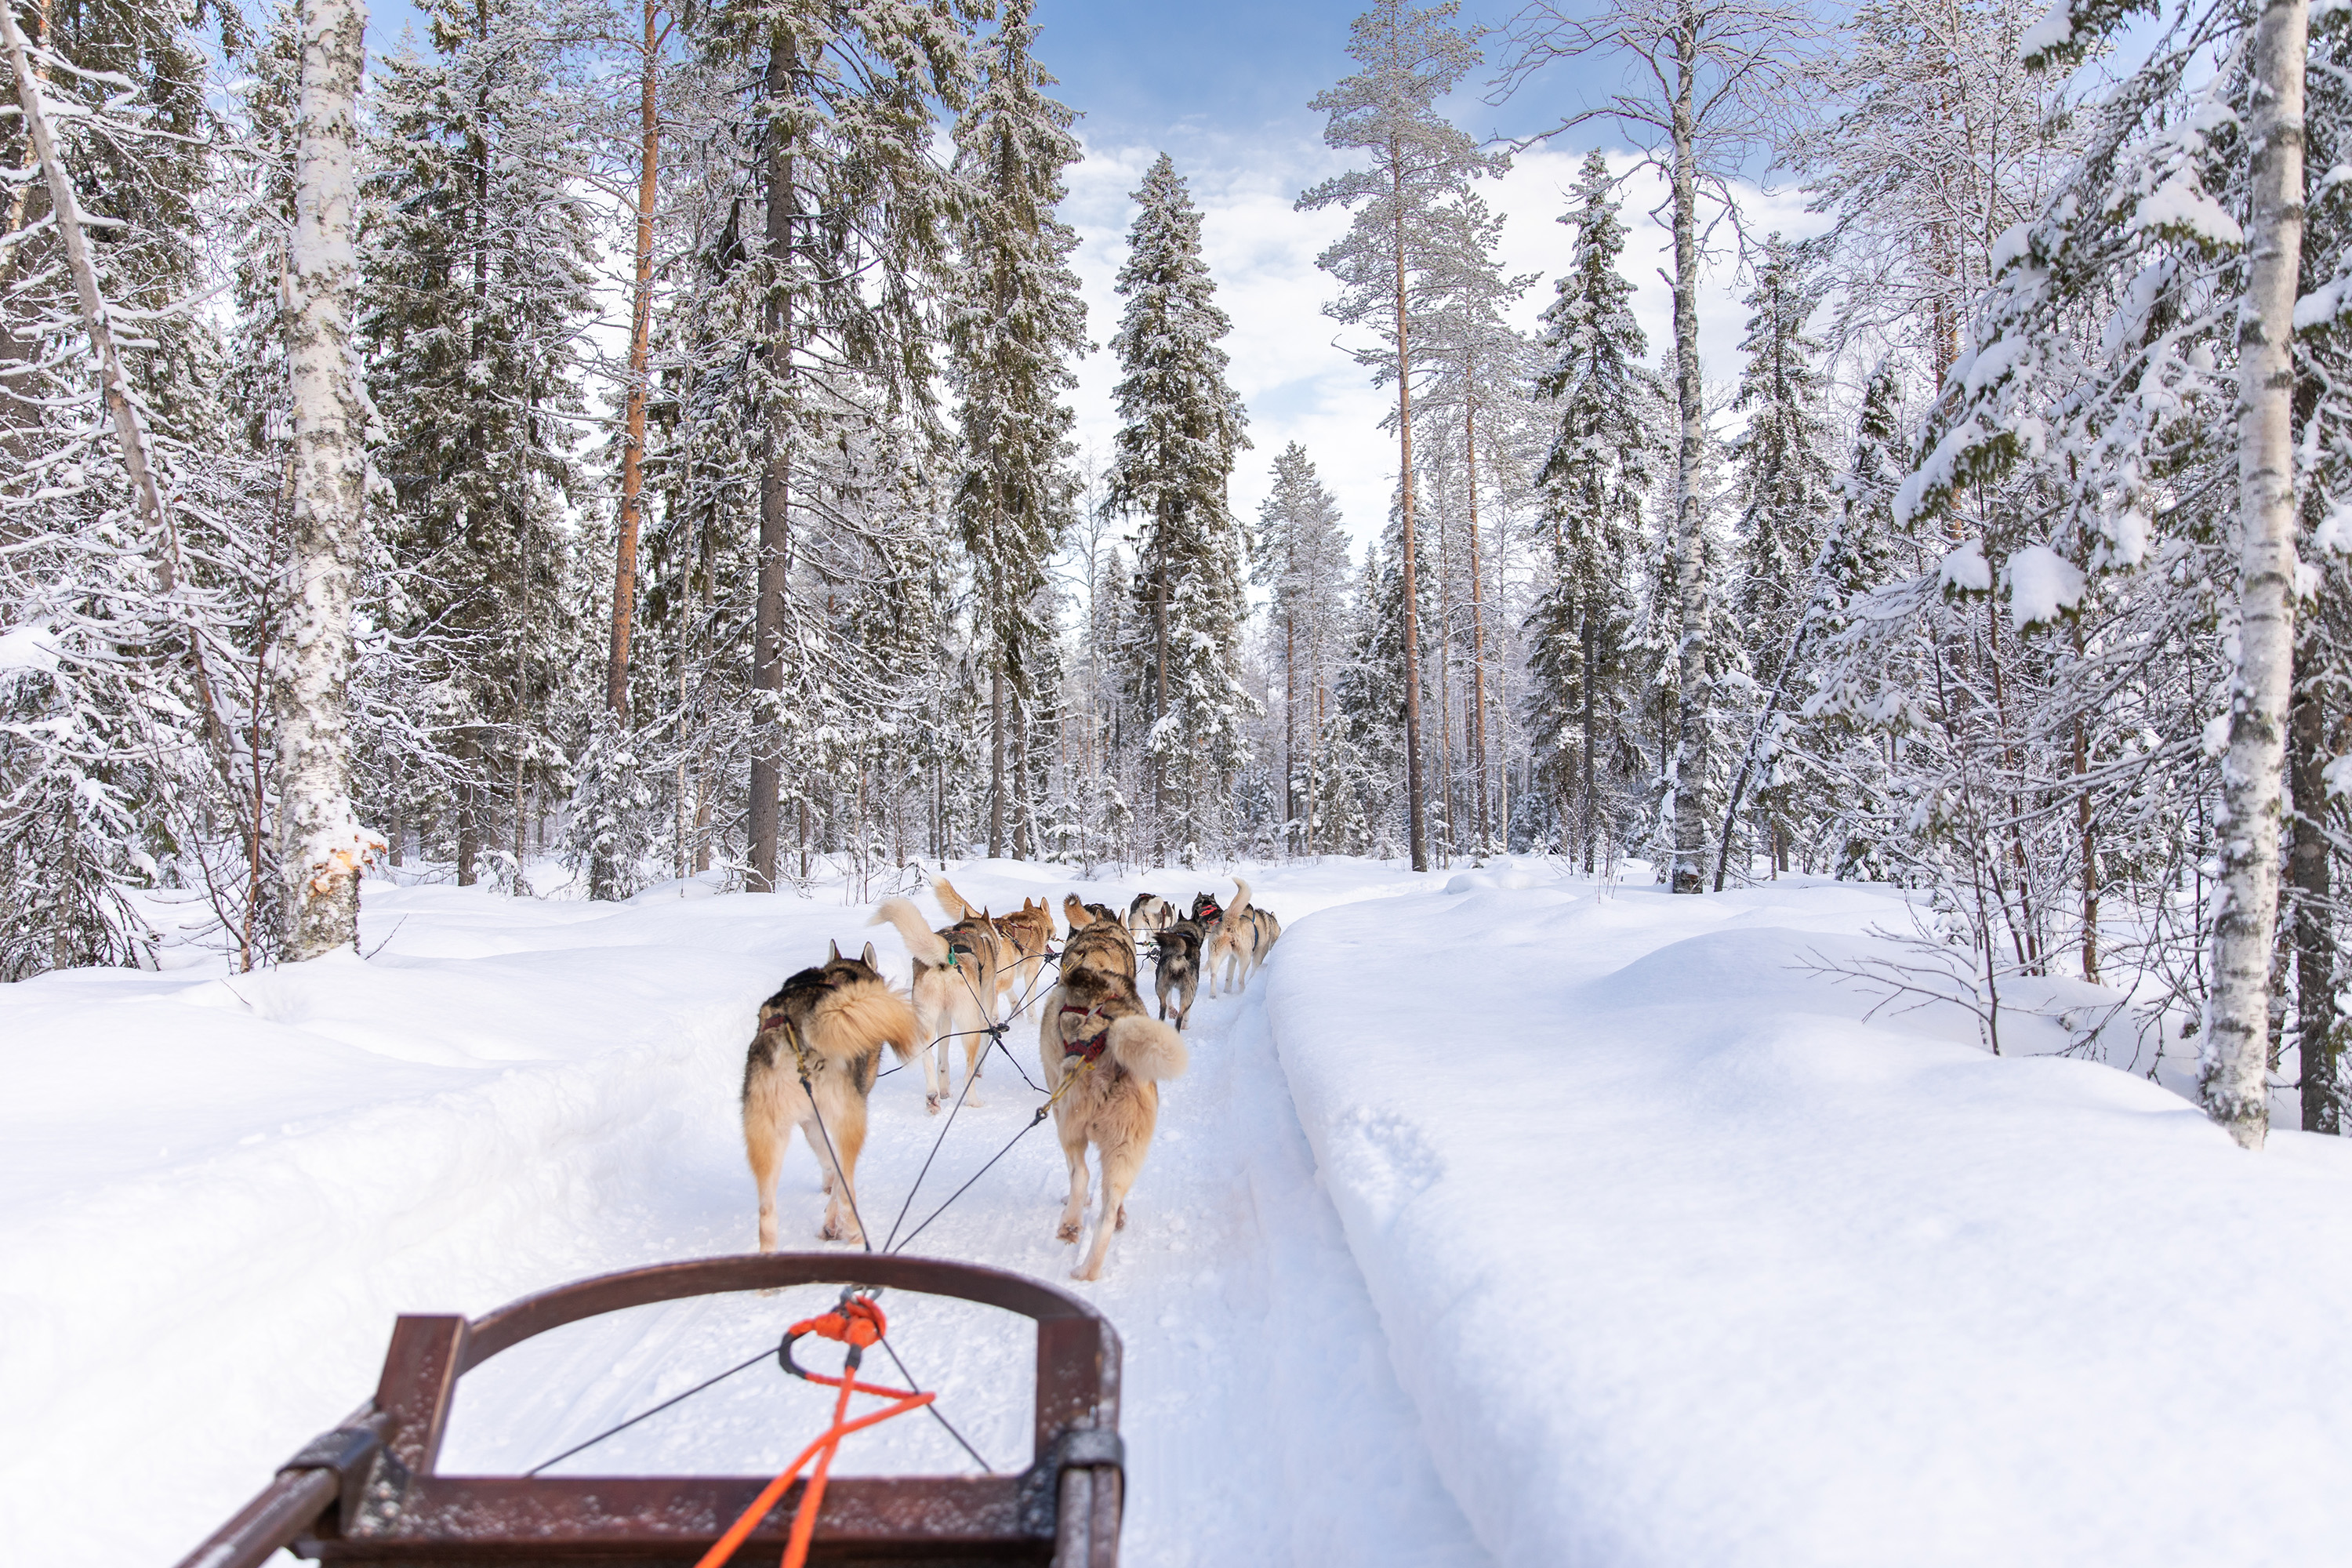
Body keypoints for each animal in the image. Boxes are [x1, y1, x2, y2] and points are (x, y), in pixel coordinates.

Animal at [743, 945, 917, 1250]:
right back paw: (851, 1232)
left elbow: (827, 1159)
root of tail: (797, 1029)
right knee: (846, 1188)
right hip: (851, 1120)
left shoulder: (811, 1120)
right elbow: (838, 1176)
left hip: (765, 1134)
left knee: (767, 1216)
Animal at [875, 902, 1002, 1109]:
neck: (972, 930)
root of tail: (944, 960)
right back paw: (974, 1101)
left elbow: (943, 1062)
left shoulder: (944, 1019)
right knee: (968, 1072)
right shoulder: (984, 1013)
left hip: (927, 1023)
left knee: (929, 1059)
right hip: (970, 1025)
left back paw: (934, 1097)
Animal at [1040, 964, 1185, 1279]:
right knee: (1106, 1216)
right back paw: (1088, 1270)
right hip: (1125, 1152)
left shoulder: (1057, 1104)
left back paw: (1070, 1224)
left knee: (1081, 1174)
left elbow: (1074, 1172)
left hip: (1070, 1127)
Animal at [1148, 921, 1204, 1029]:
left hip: (1161, 986)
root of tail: (1179, 957)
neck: (1185, 933)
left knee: (1164, 1007)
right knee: (1181, 1015)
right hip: (1188, 994)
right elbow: (1187, 1013)